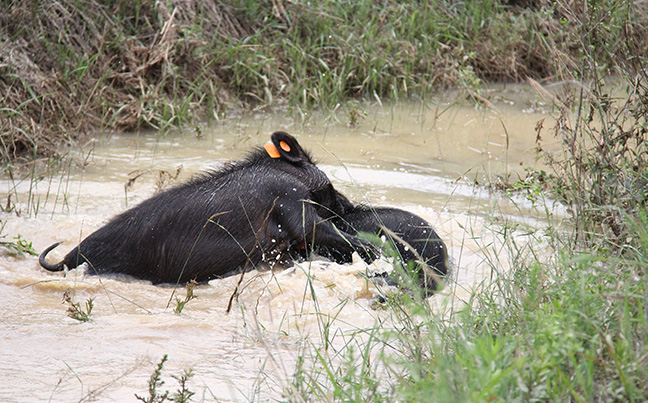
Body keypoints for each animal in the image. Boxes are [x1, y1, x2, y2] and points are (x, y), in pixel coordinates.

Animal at [39, 133, 374, 284]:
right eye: (329, 186)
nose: (349, 204)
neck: (285, 173)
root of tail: (68, 257)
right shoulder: (290, 200)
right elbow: (318, 229)